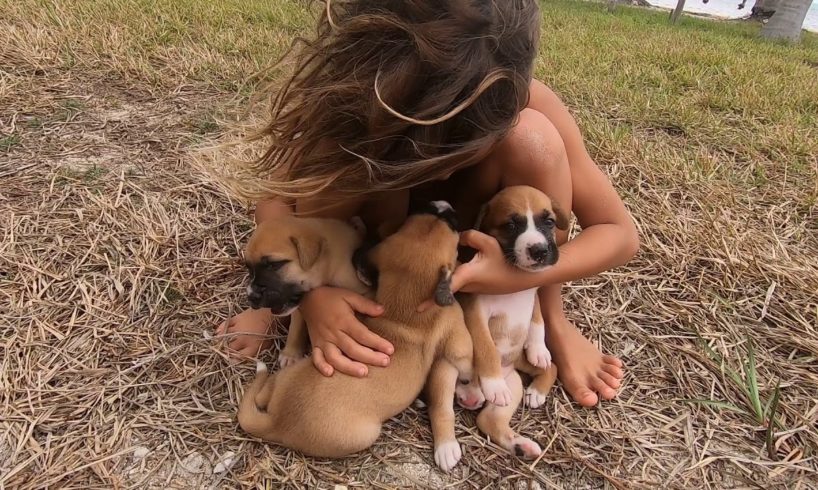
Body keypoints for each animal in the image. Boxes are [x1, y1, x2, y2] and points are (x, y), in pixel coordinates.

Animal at [236, 202, 472, 464]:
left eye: (274, 264)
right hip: (367, 434)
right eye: (451, 224)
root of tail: (277, 422)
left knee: (261, 393)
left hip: (286, 376)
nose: (440, 204)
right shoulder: (457, 335)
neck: (402, 305)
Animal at [456, 186, 564, 462]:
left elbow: (538, 320)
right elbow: (486, 348)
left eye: (549, 222)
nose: (539, 250)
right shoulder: (476, 313)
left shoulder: (533, 295)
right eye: (511, 225)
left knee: (489, 420)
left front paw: (539, 349)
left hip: (513, 386)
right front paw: (493, 383)